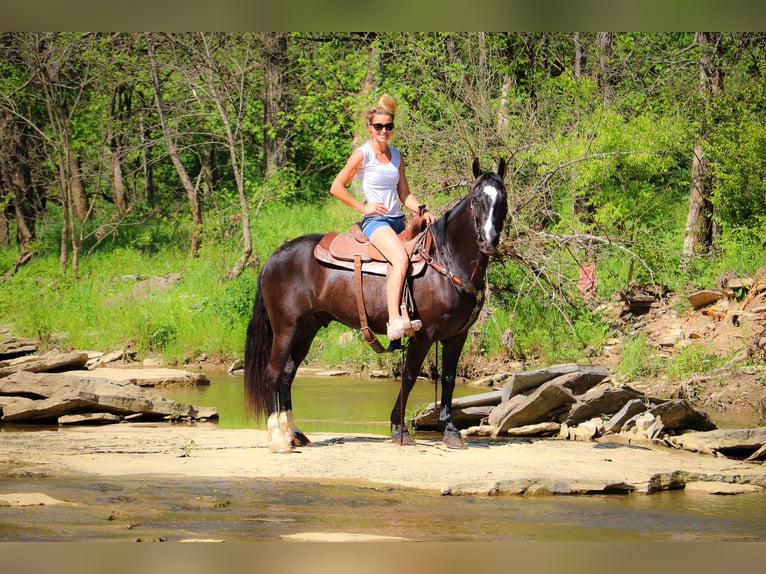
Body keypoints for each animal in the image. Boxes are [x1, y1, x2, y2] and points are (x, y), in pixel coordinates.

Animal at [246, 159, 510, 454]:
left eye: (503, 199)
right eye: (476, 200)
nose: (489, 241)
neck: (446, 260)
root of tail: (274, 257)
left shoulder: (457, 336)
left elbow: (449, 379)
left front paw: (451, 433)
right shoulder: (424, 334)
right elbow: (409, 376)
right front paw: (400, 430)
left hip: (306, 329)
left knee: (287, 375)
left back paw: (294, 434)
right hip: (285, 328)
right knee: (273, 374)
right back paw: (278, 440)